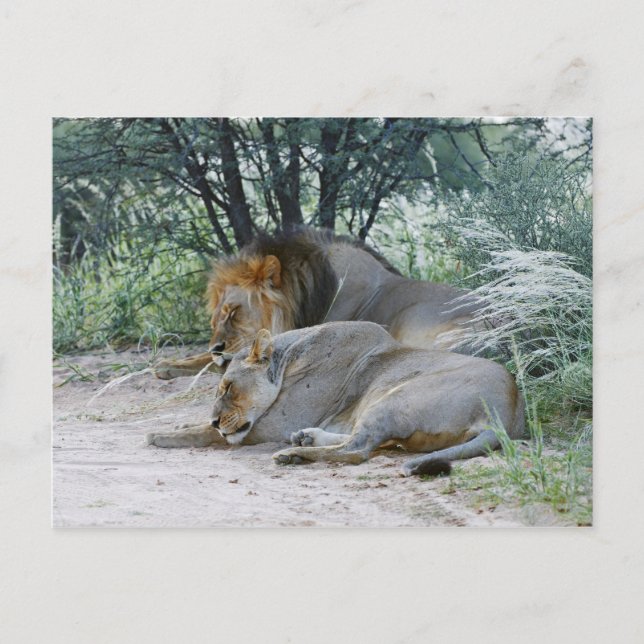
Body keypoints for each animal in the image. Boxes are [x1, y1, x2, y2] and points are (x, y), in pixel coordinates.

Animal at [147, 322, 524, 476]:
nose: (215, 418)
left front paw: (162, 433)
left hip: (395, 396)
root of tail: (504, 412)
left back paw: (292, 454)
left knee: (357, 451)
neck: (289, 358)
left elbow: (205, 433)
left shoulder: (279, 422)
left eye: (228, 388)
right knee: (369, 442)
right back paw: (306, 439)